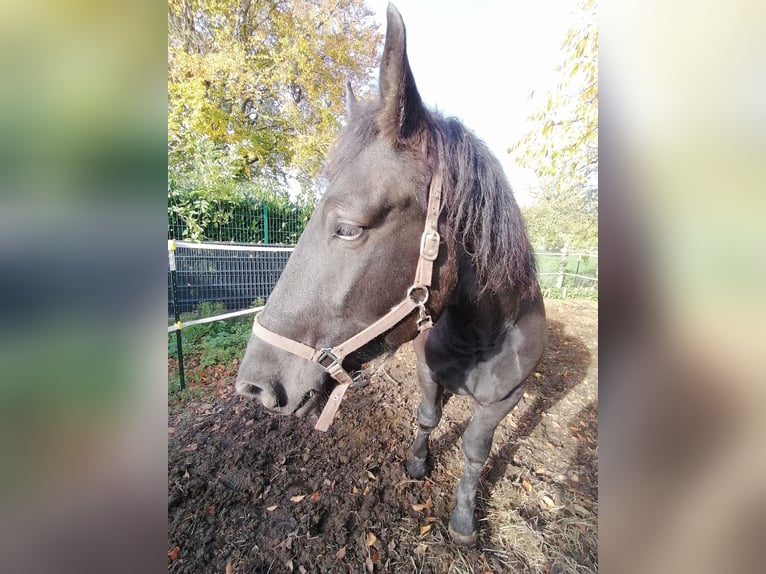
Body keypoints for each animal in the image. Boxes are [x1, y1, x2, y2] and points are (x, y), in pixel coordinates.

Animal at [235, 3, 546, 545]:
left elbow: (475, 452)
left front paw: (463, 521)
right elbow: (427, 418)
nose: (252, 387)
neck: (482, 333)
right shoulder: (427, 373)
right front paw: (418, 465)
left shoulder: (505, 401)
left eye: (348, 228)